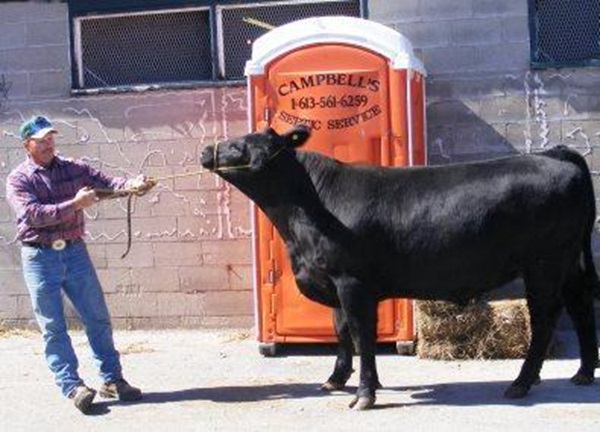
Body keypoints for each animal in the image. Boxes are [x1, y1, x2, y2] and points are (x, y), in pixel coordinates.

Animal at [200, 126, 596, 410]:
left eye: (242, 145)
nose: (206, 150)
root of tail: (553, 155)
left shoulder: (351, 281)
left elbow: (361, 333)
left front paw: (364, 394)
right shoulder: (333, 280)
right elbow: (342, 331)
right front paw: (339, 380)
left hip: (545, 263)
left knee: (544, 318)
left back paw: (522, 382)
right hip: (569, 262)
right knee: (581, 307)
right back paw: (583, 372)